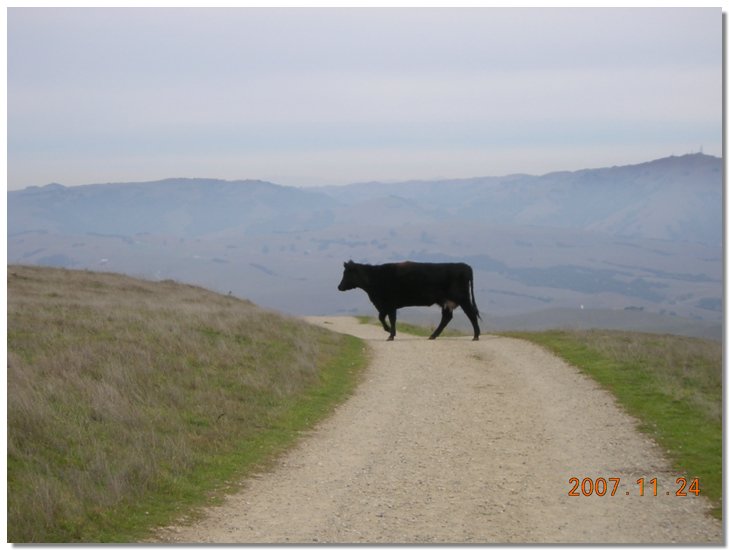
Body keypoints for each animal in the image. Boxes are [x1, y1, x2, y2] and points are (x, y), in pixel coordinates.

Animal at [338, 262, 480, 340]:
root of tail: (465, 266)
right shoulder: (384, 305)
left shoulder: (389, 304)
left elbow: (390, 318)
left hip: (463, 299)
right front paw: (389, 331)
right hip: (446, 302)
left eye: (347, 273)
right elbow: (382, 317)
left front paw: (390, 334)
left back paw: (476, 336)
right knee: (446, 318)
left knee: (471, 314)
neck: (375, 277)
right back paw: (432, 336)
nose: (339, 287)